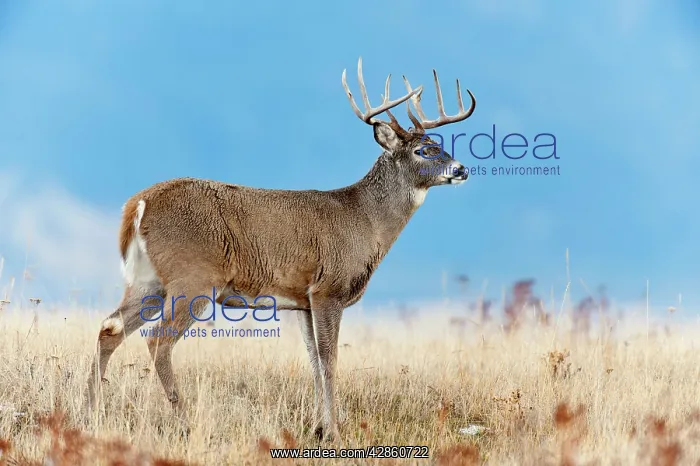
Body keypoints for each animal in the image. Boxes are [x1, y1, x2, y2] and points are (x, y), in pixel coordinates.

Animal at [85, 57, 476, 441]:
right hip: (193, 278)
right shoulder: (328, 289)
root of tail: (138, 204)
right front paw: (335, 433)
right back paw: (184, 424)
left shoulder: (302, 299)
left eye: (441, 144)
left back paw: (93, 411)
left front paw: (318, 428)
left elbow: (313, 361)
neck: (366, 220)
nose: (462, 169)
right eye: (422, 150)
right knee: (158, 341)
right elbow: (330, 360)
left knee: (109, 328)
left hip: (148, 281)